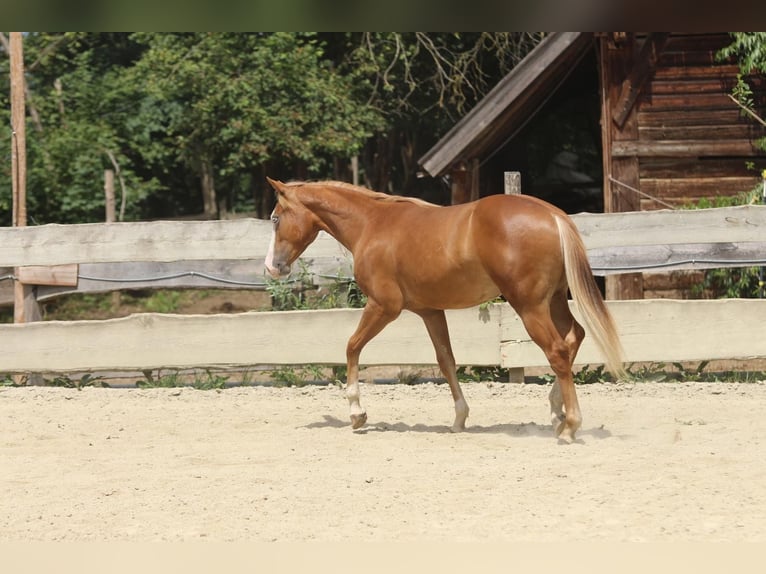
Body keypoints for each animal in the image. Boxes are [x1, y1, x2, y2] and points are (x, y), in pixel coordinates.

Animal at [264, 178, 625, 442]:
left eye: (276, 218)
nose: (272, 267)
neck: (372, 225)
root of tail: (553, 215)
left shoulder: (384, 307)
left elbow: (352, 347)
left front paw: (357, 414)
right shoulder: (430, 311)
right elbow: (446, 360)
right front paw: (459, 418)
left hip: (530, 306)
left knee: (557, 351)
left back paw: (569, 426)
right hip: (554, 301)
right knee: (574, 337)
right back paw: (556, 413)